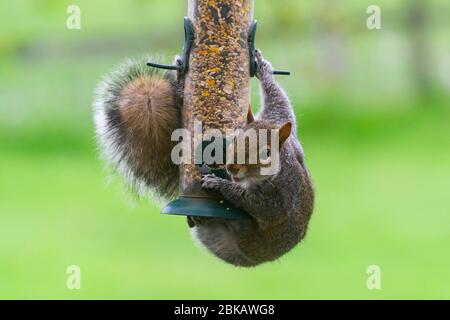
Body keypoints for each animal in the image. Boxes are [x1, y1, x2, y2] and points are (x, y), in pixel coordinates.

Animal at [93, 50, 314, 268]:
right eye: (236, 137)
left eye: (266, 153)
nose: (232, 168)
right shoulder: (278, 120)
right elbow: (280, 102)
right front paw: (263, 68)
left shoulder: (281, 195)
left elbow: (261, 207)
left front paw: (219, 184)